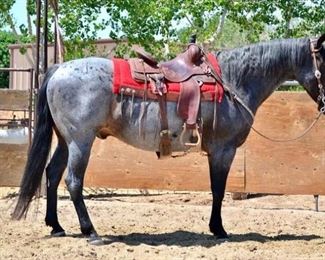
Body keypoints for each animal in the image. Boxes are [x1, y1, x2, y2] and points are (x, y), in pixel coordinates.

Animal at [12, 34, 324, 244]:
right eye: (323, 57)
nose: (324, 103)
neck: (234, 81)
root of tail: (58, 69)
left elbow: (216, 189)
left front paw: (216, 228)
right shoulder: (223, 150)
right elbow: (218, 190)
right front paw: (219, 230)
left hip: (66, 141)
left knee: (52, 174)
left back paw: (56, 226)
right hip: (80, 141)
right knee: (73, 181)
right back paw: (91, 232)